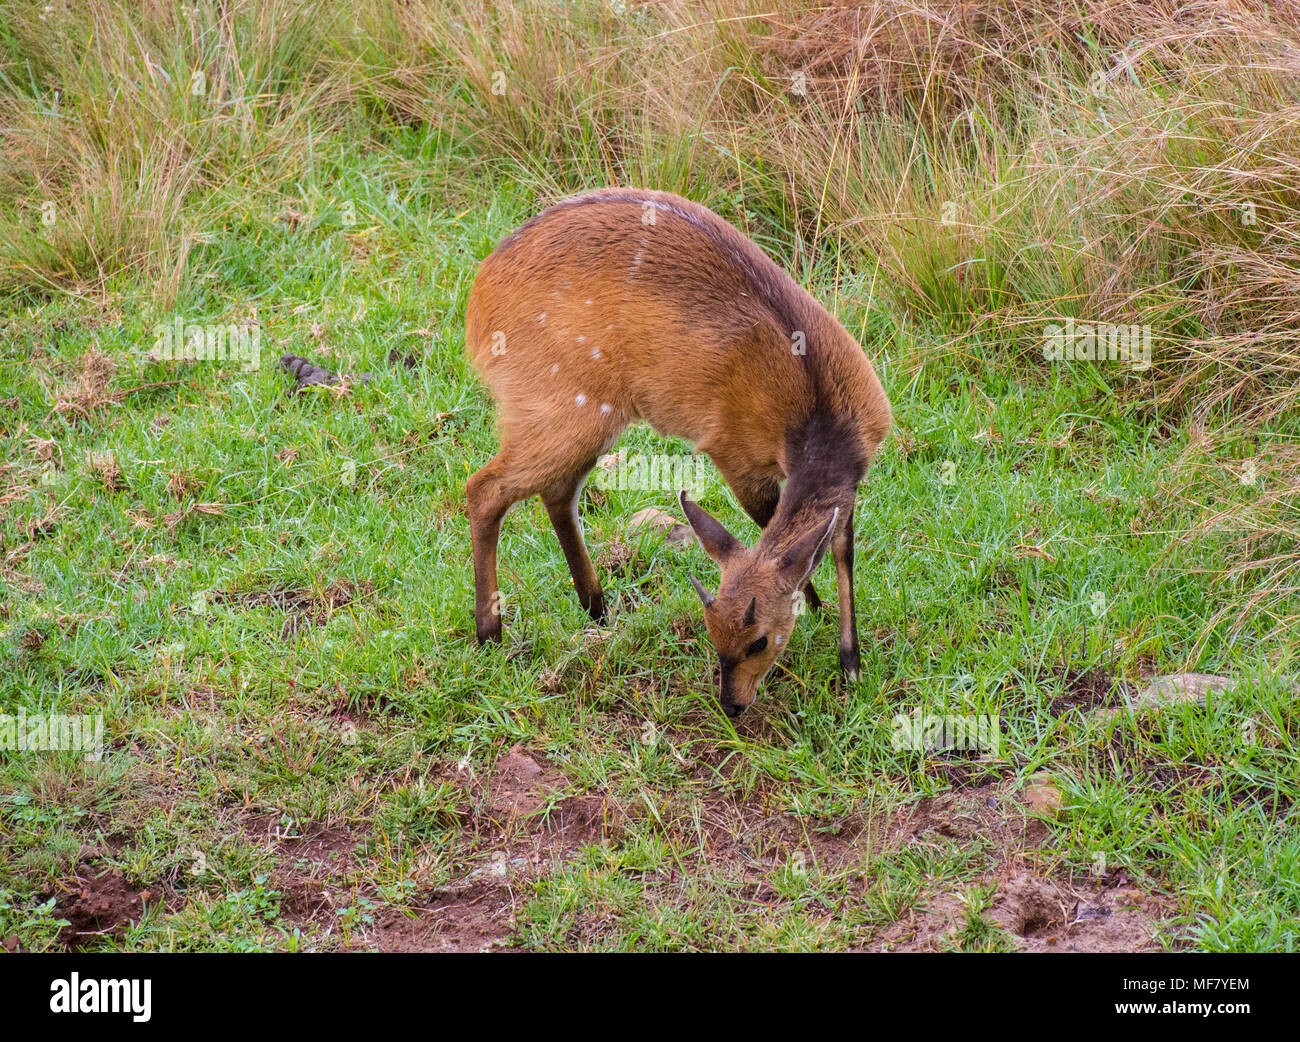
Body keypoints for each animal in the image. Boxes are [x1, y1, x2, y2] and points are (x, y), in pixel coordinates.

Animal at [467, 188, 894, 717]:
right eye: (713, 636)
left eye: (757, 641)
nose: (731, 705)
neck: (819, 410)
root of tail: (478, 305)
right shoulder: (733, 454)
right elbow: (779, 530)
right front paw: (815, 612)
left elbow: (840, 545)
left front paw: (849, 661)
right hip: (563, 407)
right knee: (485, 488)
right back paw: (491, 633)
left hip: (587, 420)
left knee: (555, 491)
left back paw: (597, 607)